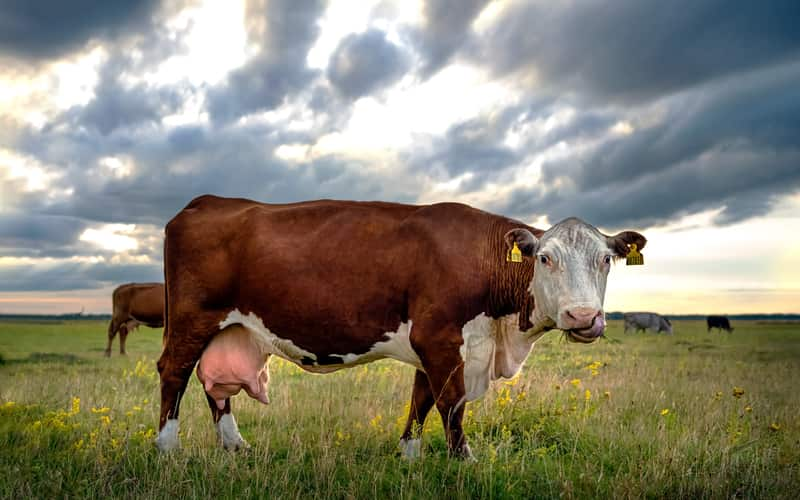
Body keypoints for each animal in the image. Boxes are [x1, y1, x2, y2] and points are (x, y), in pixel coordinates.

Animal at [153, 194, 648, 458]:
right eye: (545, 258)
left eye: (606, 259)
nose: (583, 318)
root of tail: (205, 201)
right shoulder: (440, 337)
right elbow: (451, 403)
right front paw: (463, 461)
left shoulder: (436, 343)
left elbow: (421, 399)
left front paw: (409, 455)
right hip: (193, 319)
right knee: (175, 373)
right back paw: (167, 447)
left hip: (228, 329)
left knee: (214, 385)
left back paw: (235, 445)